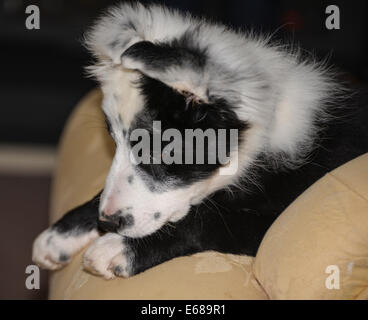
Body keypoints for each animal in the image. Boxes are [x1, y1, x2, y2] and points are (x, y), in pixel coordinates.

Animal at [32, 1, 368, 278]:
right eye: (113, 140)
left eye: (156, 150)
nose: (107, 224)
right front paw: (61, 234)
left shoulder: (272, 222)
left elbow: (206, 220)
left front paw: (117, 248)